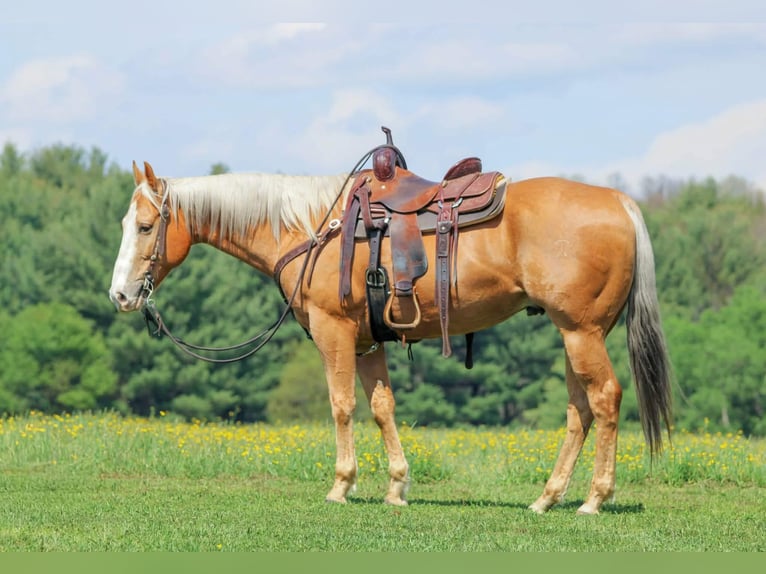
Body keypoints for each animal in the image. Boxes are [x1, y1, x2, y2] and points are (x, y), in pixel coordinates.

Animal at [108, 155, 672, 515]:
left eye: (144, 227)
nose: (120, 295)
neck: (312, 229)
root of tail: (621, 202)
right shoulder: (368, 341)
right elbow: (382, 407)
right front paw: (397, 487)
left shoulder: (335, 332)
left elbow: (341, 406)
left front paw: (342, 485)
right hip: (573, 335)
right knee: (580, 410)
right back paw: (548, 497)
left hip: (582, 332)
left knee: (604, 399)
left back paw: (595, 499)